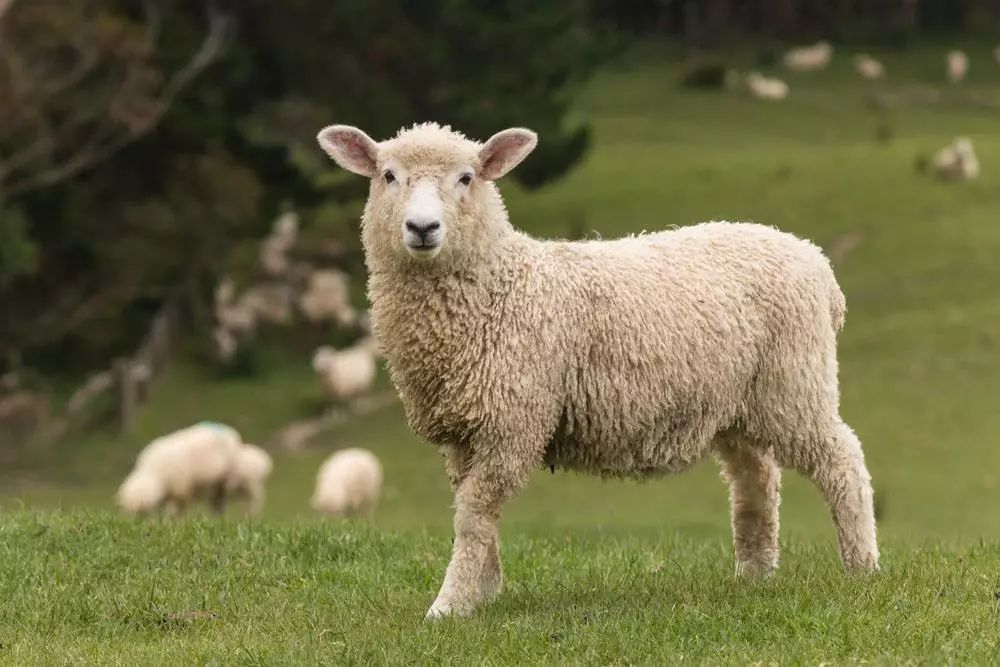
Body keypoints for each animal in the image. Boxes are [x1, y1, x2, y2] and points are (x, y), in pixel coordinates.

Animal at [318, 121, 876, 620]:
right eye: (388, 175)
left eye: (466, 177)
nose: (422, 229)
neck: (499, 284)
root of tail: (816, 262)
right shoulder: (463, 431)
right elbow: (472, 510)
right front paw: (485, 590)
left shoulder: (511, 423)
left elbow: (474, 515)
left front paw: (450, 604)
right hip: (739, 402)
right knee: (755, 480)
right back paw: (755, 575)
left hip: (795, 383)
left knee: (842, 460)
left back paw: (861, 568)